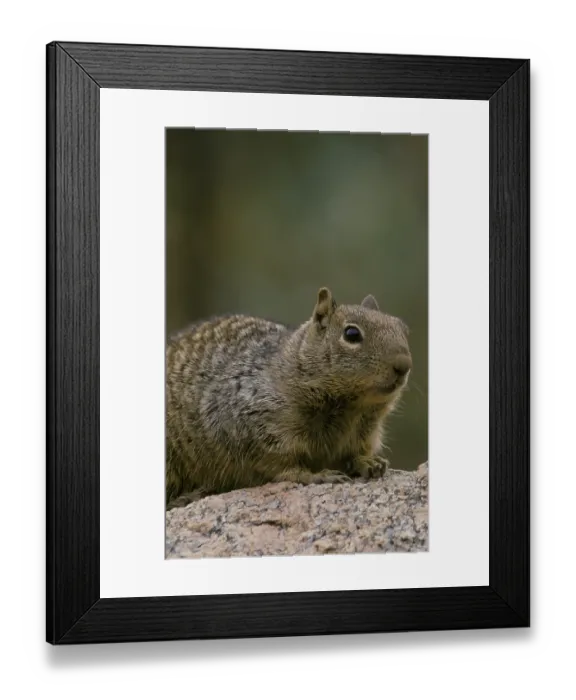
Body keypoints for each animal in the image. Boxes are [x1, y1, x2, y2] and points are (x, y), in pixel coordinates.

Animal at [165, 287, 412, 510]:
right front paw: (316, 476)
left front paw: (368, 462)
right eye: (352, 334)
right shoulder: (259, 426)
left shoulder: (365, 430)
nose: (404, 365)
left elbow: (355, 452)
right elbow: (282, 464)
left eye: (403, 328)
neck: (352, 406)